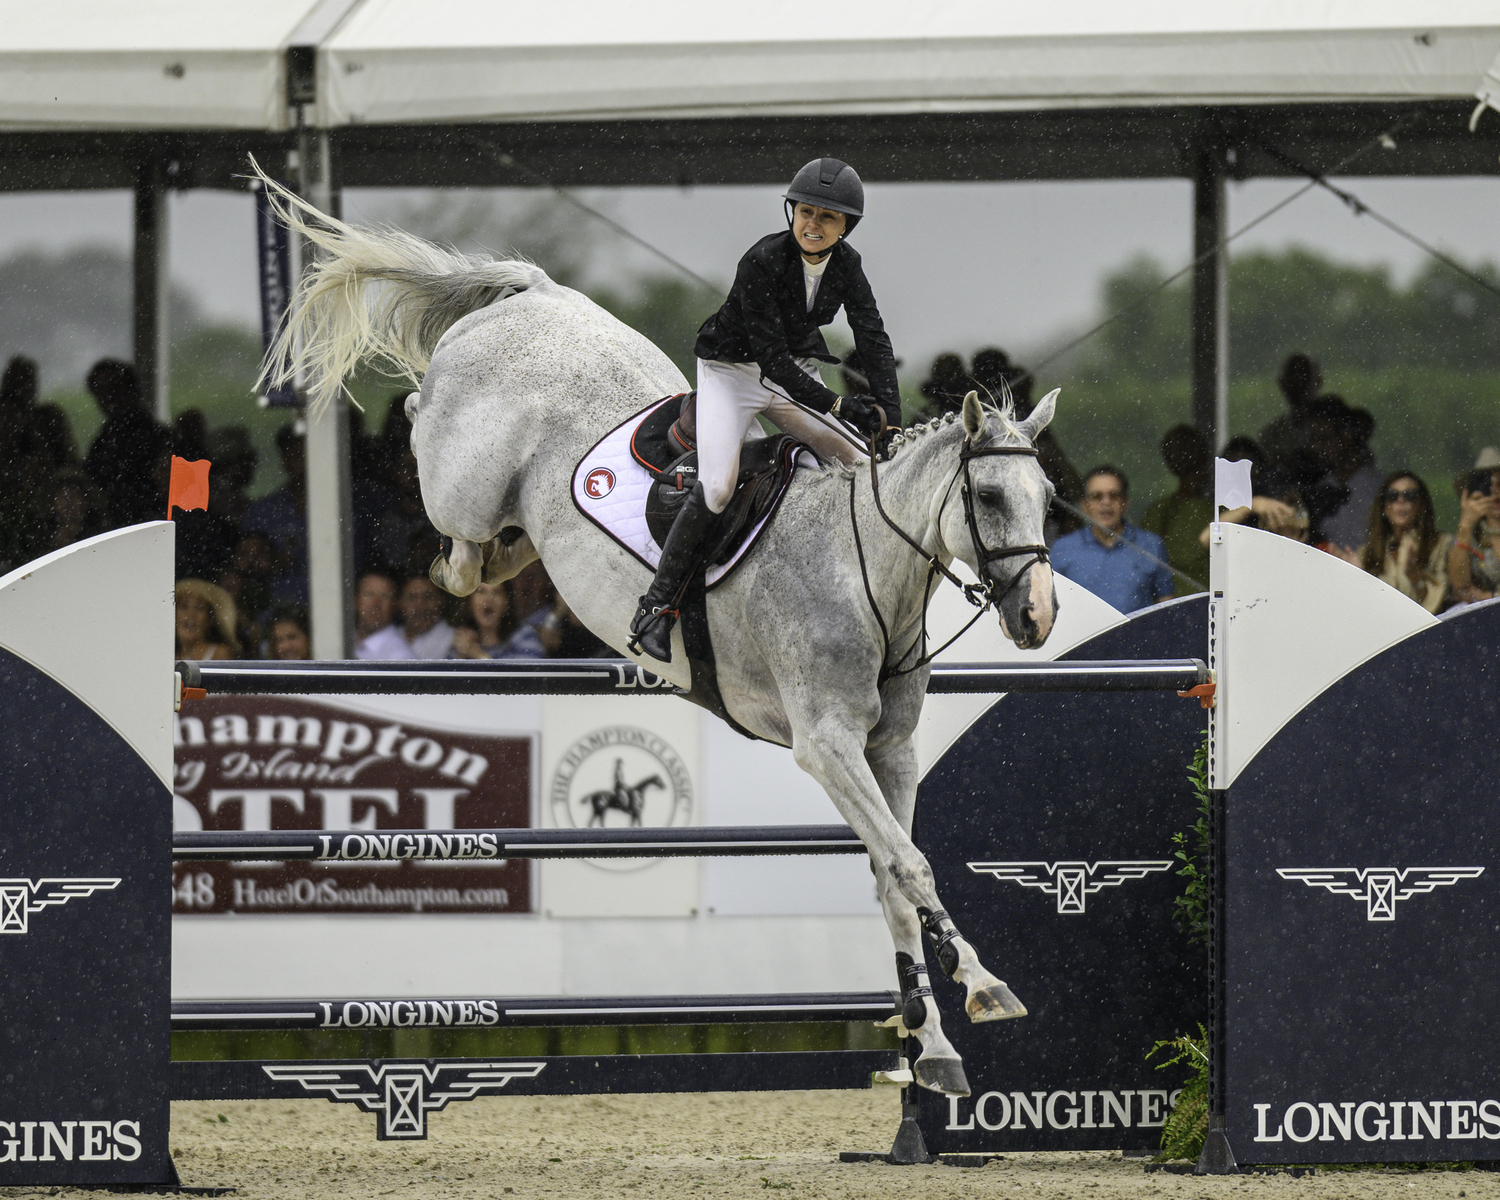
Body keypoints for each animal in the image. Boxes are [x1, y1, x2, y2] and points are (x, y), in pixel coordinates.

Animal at [267, 178, 1068, 1098]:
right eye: (991, 498)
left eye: (1047, 496)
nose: (1038, 618)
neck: (861, 565)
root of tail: (536, 292)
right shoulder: (827, 745)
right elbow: (911, 866)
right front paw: (986, 988)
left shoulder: (889, 751)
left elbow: (894, 874)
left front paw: (931, 1048)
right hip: (459, 479)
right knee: (443, 500)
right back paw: (462, 533)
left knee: (490, 547)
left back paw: (510, 554)